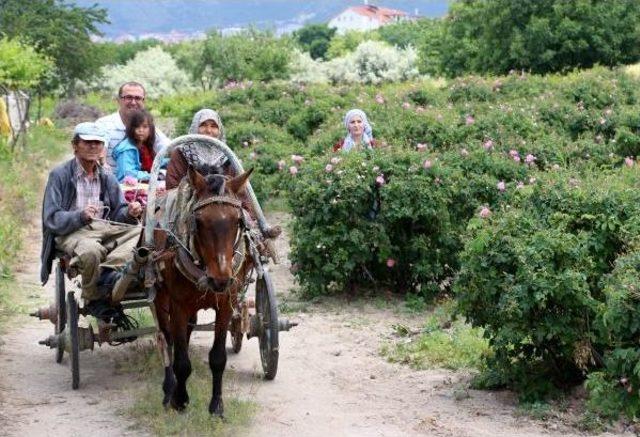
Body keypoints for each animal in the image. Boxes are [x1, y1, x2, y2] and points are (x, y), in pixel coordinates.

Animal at [154, 167, 254, 416]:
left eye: (238, 220)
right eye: (198, 222)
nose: (220, 279)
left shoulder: (226, 304)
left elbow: (218, 358)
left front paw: (216, 405)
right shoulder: (178, 305)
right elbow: (181, 361)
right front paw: (179, 399)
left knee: (186, 332)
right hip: (160, 295)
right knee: (166, 339)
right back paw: (169, 388)